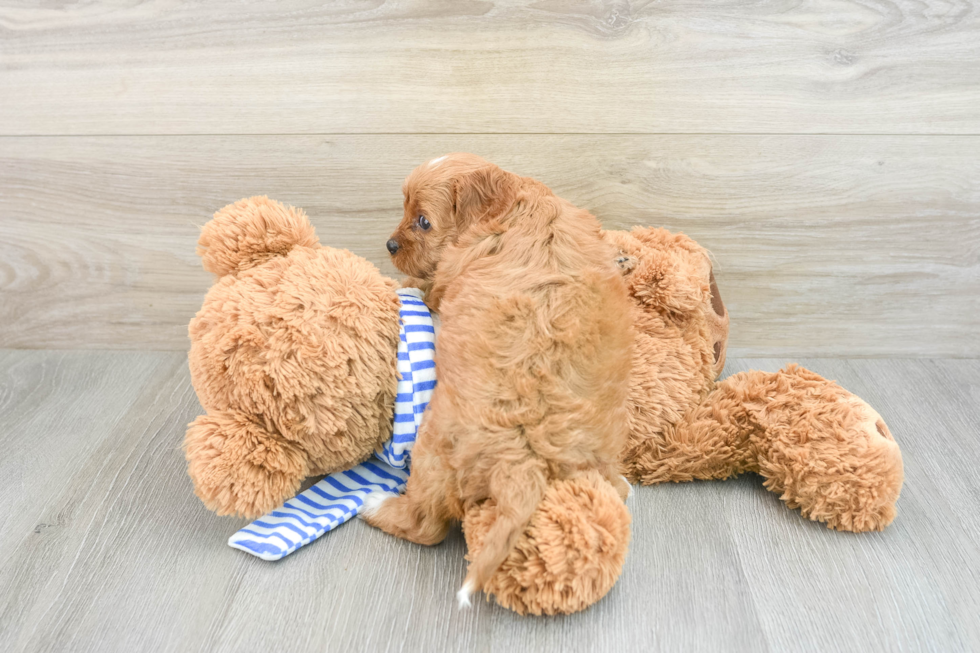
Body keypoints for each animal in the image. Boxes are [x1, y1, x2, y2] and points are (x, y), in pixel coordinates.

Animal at [364, 153, 632, 608]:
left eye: (423, 221)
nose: (390, 245)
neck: (515, 200)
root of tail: (523, 464)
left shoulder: (449, 273)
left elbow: (429, 287)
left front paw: (407, 285)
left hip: (432, 450)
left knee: (425, 525)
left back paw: (377, 505)